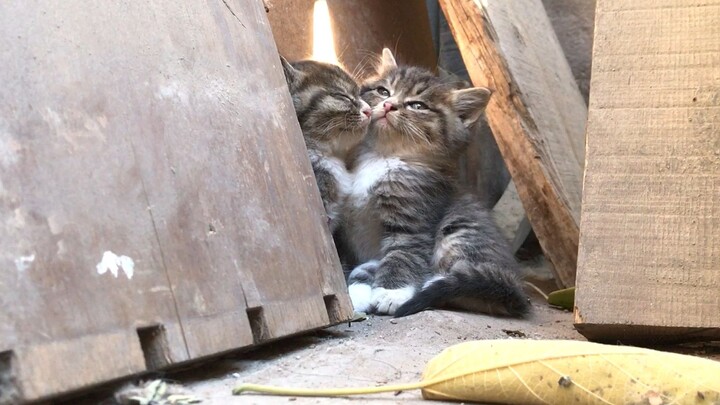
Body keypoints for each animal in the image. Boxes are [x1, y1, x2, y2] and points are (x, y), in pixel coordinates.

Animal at [344, 49, 528, 318]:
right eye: (383, 91)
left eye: (418, 106)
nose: (388, 105)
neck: (382, 157)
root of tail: (515, 284)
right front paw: (357, 293)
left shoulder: (414, 219)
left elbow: (404, 254)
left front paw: (391, 293)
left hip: (459, 228)